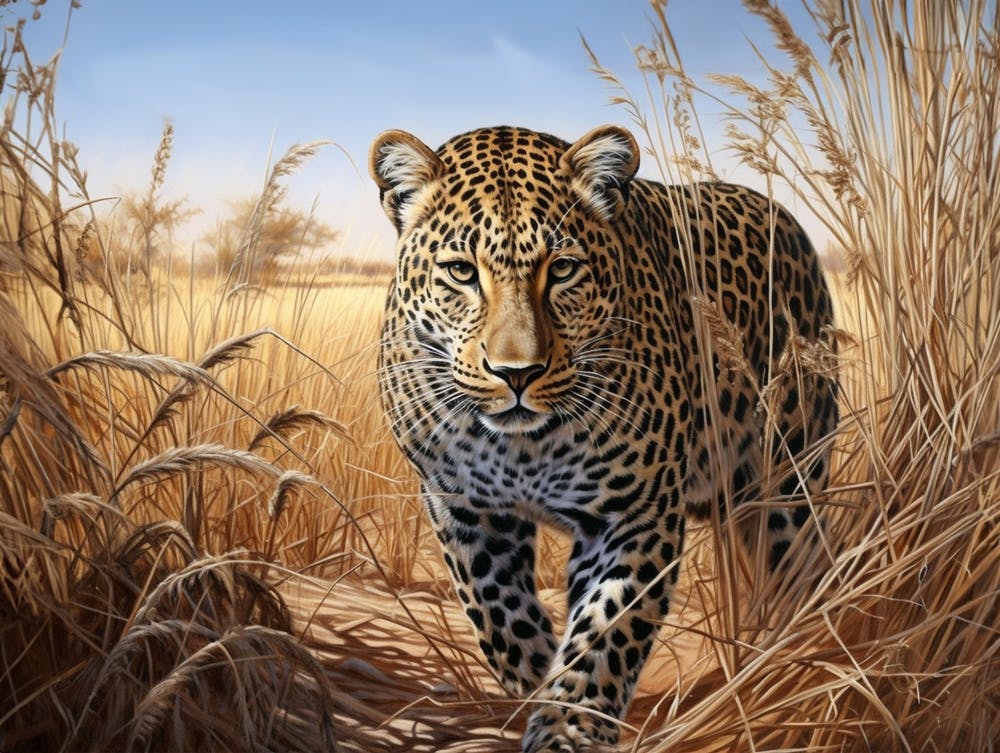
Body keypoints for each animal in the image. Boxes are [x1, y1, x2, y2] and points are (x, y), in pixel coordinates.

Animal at [370, 124, 838, 752]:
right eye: (462, 273)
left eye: (564, 269)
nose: (516, 373)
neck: (525, 447)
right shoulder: (460, 504)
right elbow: (497, 610)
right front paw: (535, 678)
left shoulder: (636, 515)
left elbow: (606, 631)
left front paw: (568, 726)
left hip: (788, 476)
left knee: (800, 568)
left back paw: (796, 662)